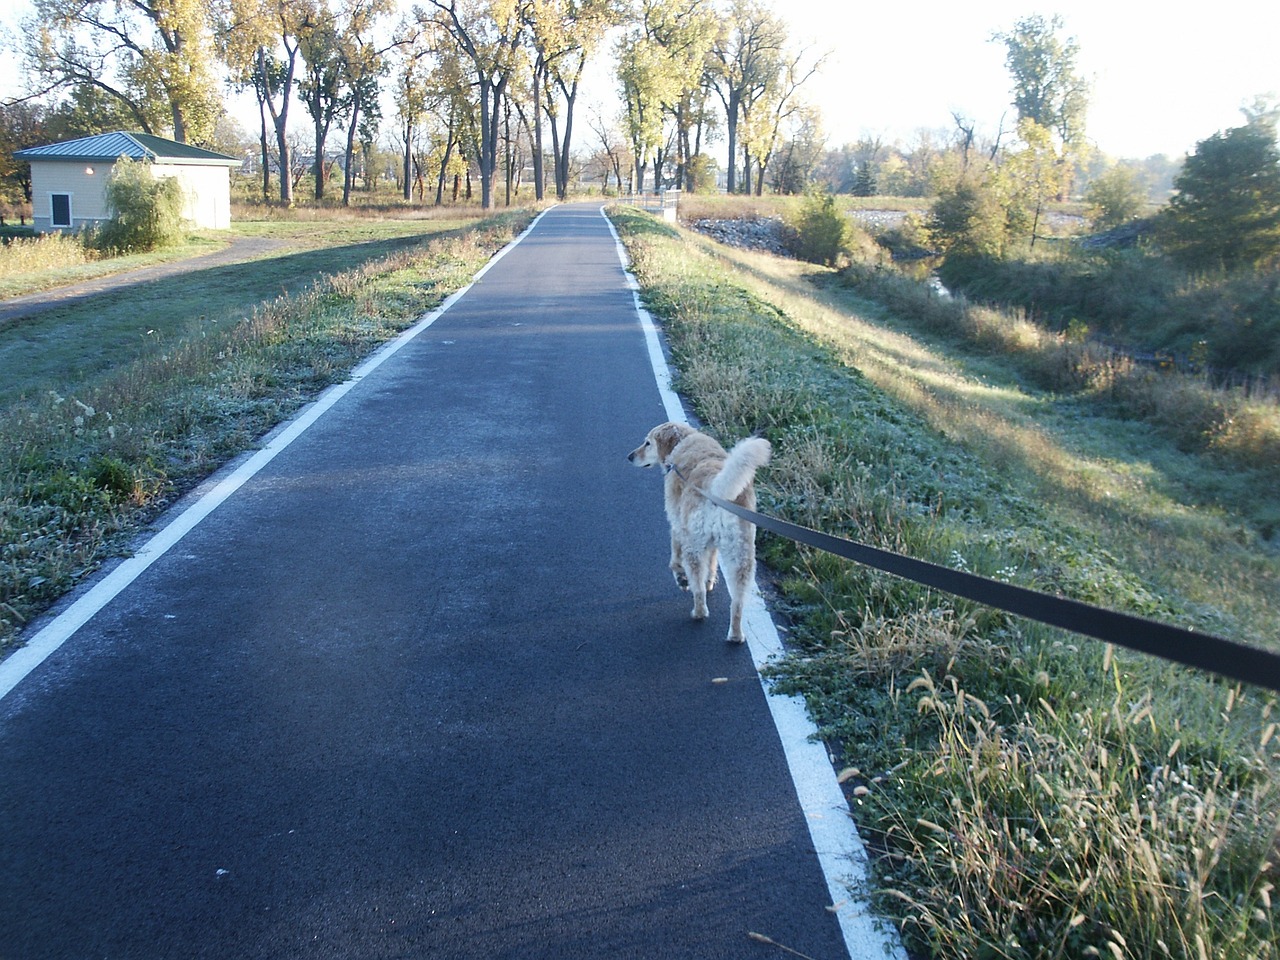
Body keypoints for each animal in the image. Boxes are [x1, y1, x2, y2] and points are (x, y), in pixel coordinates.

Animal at [629, 422, 768, 642]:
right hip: (741, 555)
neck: (684, 441)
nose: (630, 456)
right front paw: (710, 580)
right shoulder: (711, 544)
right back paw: (736, 635)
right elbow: (712, 563)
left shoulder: (677, 523)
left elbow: (674, 556)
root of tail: (717, 488)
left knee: (698, 588)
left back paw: (698, 612)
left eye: (647, 443)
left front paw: (680, 576)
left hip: (694, 547)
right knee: (737, 602)